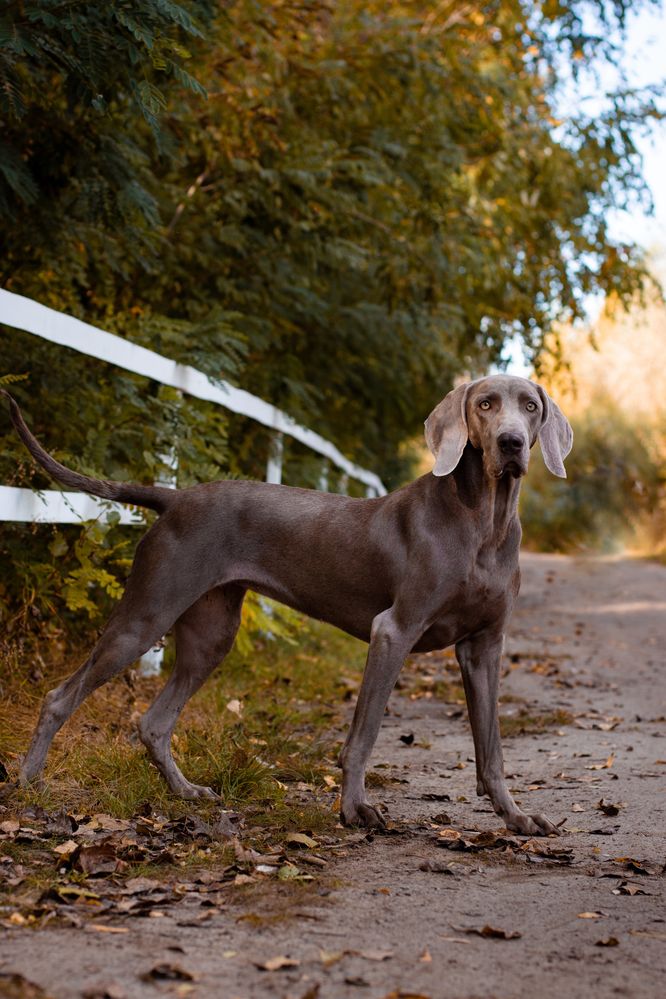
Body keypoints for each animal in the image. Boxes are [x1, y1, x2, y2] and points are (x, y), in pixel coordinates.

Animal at [0, 376, 572, 836]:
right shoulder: (393, 631)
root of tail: (175, 497)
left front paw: (517, 817)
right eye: (485, 404)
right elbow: (362, 736)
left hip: (211, 633)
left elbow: (492, 749)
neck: (484, 523)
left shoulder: (484, 648)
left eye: (530, 406)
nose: (511, 442)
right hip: (146, 615)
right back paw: (29, 783)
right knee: (60, 697)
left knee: (154, 723)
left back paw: (185, 792)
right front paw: (355, 810)